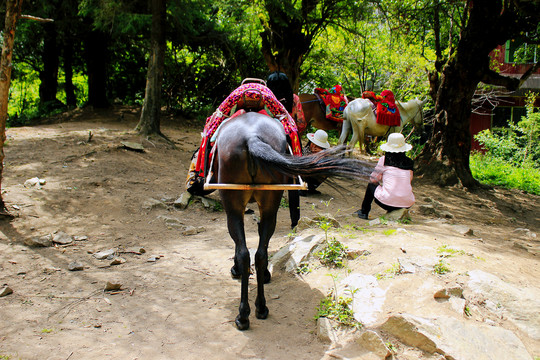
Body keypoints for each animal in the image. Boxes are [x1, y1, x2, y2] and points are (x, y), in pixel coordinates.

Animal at [208, 112, 372, 330]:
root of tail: (252, 137)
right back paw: (261, 307)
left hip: (233, 202)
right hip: (270, 200)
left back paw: (243, 315)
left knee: (244, 253)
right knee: (259, 253)